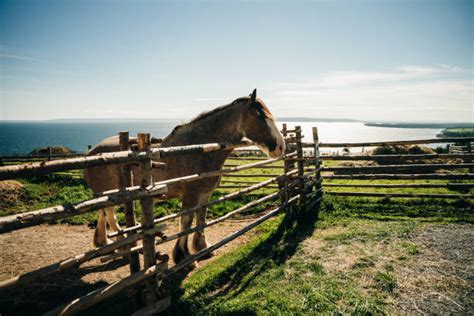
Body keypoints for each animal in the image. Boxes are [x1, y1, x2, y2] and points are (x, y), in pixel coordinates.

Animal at [84, 90, 286, 266]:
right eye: (261, 116)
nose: (280, 146)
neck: (198, 148)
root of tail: (93, 152)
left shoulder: (205, 194)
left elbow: (201, 218)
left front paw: (202, 248)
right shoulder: (191, 196)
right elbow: (186, 222)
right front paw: (183, 256)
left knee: (103, 214)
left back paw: (106, 243)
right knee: (111, 217)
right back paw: (126, 247)